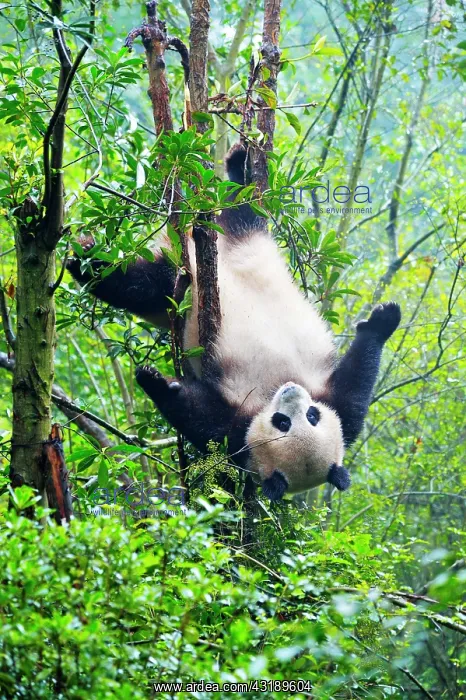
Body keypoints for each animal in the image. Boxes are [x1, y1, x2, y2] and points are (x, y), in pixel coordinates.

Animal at [67, 144, 401, 501]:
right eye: (292, 420)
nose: (292, 391)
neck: (270, 394)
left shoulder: (241, 433)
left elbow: (199, 418)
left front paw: (156, 382)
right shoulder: (336, 407)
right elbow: (357, 384)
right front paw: (384, 319)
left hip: (174, 288)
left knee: (136, 286)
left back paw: (85, 259)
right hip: (237, 241)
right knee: (243, 207)